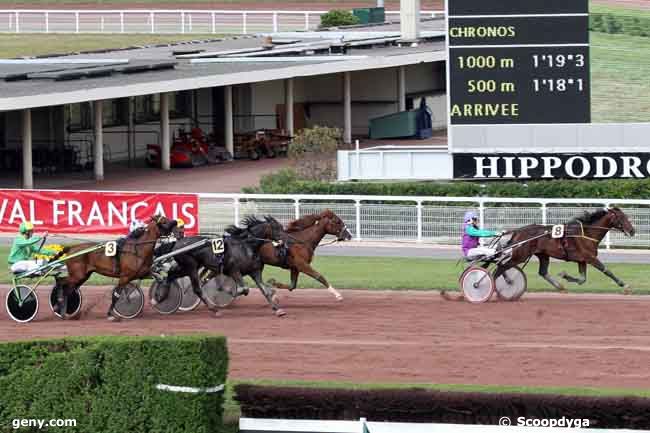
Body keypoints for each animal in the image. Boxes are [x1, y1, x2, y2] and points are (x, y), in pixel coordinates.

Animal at [492, 208, 632, 296]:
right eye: (622, 218)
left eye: (627, 217)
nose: (632, 230)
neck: (587, 234)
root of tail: (518, 231)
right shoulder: (590, 258)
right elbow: (607, 271)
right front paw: (624, 285)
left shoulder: (582, 260)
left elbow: (582, 279)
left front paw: (564, 275)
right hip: (520, 255)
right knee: (500, 269)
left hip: (543, 255)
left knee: (542, 272)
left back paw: (560, 287)